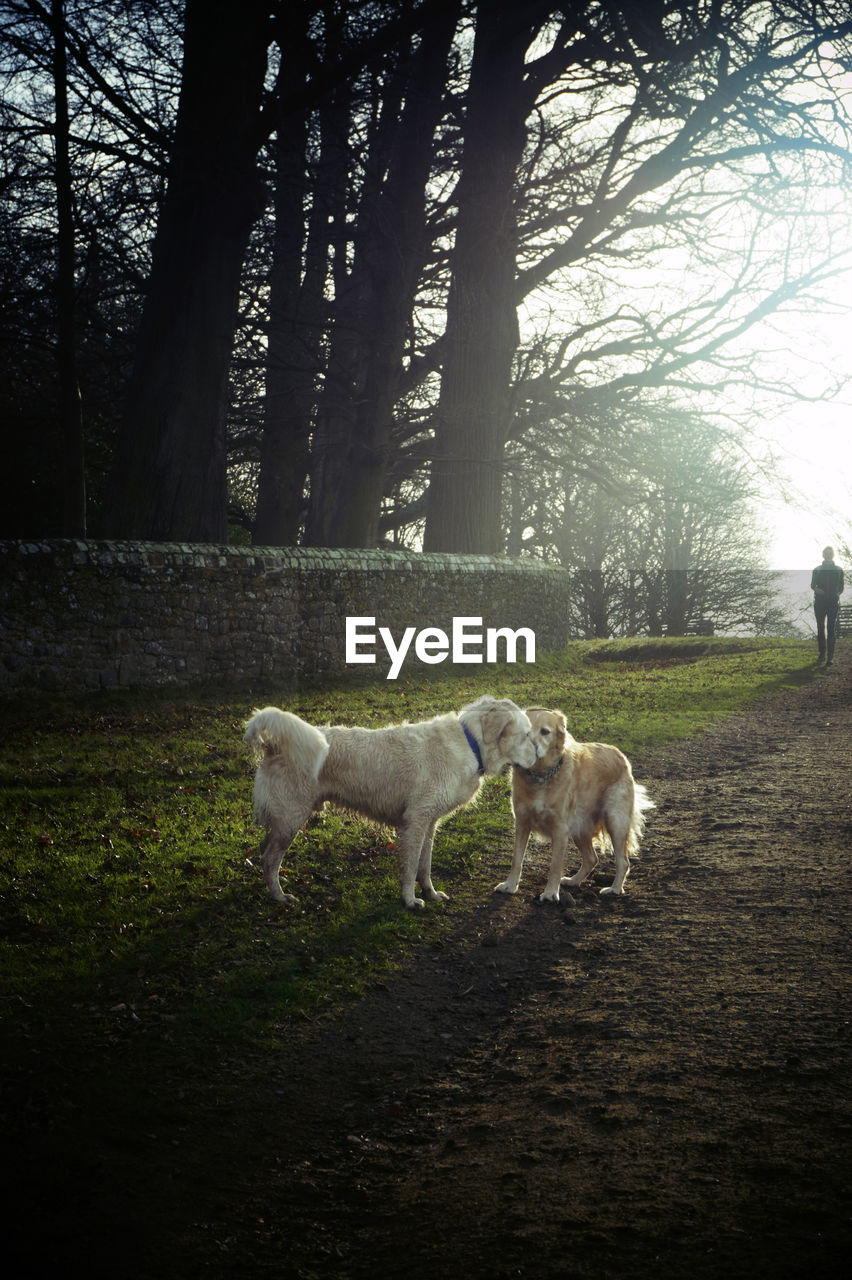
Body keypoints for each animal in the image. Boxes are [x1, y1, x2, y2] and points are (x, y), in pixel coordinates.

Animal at [241, 701, 539, 911]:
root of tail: (274, 746)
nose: (538, 755)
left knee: (264, 850)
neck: (470, 742)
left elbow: (425, 866)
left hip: (286, 819)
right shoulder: (415, 822)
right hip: (291, 817)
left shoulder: (429, 823)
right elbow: (411, 868)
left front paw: (430, 893)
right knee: (270, 858)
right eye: (526, 735)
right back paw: (280, 897)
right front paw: (410, 900)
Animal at [491, 711, 649, 901]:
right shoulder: (522, 823)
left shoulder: (560, 830)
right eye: (526, 731)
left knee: (623, 862)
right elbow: (516, 859)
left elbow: (555, 866)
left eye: (545, 732)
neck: (540, 776)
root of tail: (620, 754)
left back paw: (614, 889)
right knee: (591, 858)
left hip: (615, 823)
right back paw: (574, 881)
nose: (532, 747)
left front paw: (550, 893)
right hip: (580, 828)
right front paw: (510, 885)